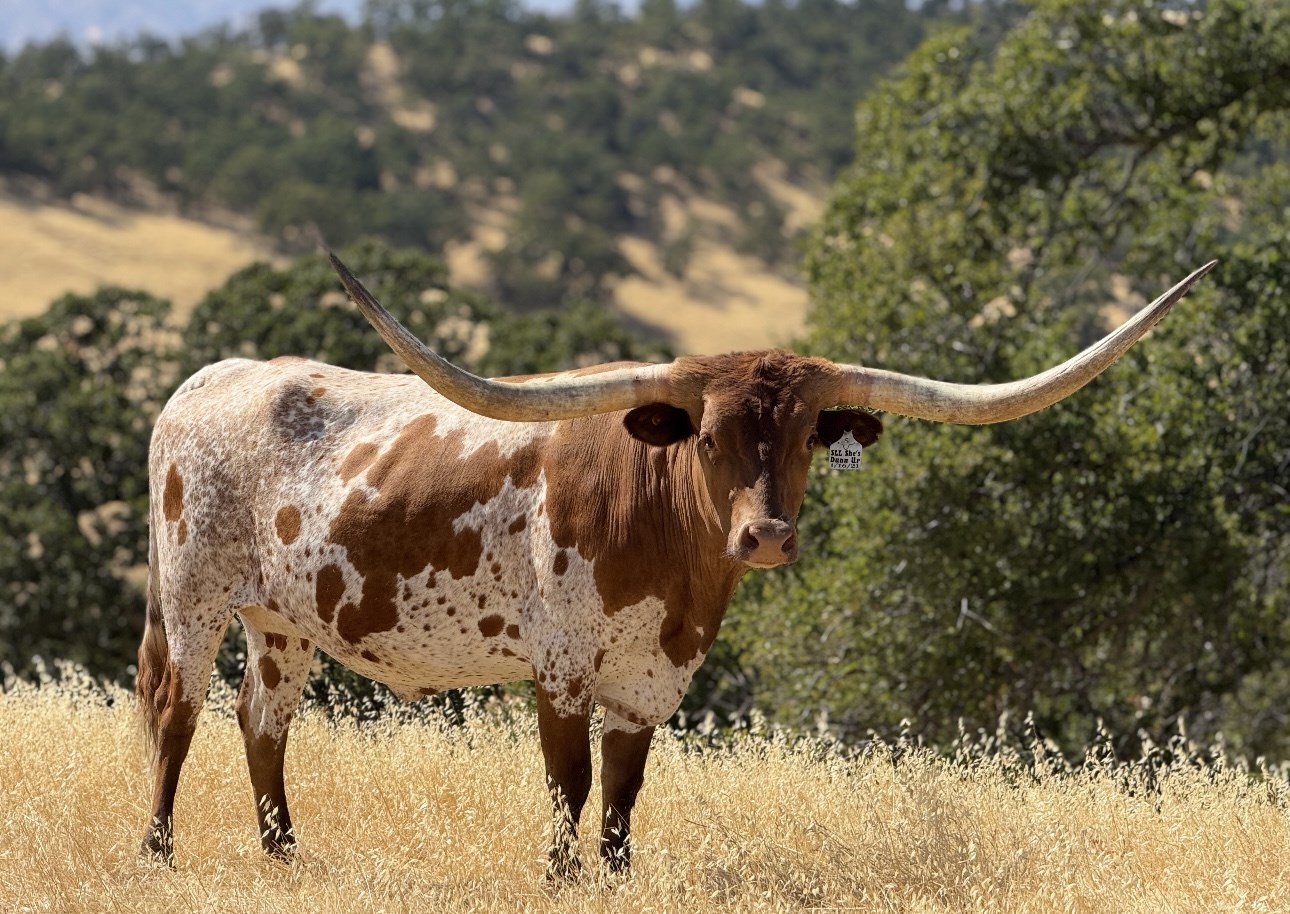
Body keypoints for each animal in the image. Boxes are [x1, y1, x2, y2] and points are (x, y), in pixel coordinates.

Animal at [136, 254, 1214, 877]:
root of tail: (211, 377)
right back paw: (159, 850)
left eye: (810, 438)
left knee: (262, 721)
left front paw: (613, 878)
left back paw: (284, 855)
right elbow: (569, 786)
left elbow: (621, 795)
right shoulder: (562, 665)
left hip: (283, 619)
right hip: (193, 593)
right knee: (177, 712)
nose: (767, 537)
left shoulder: (654, 679)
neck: (670, 567)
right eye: (707, 436)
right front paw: (560, 878)